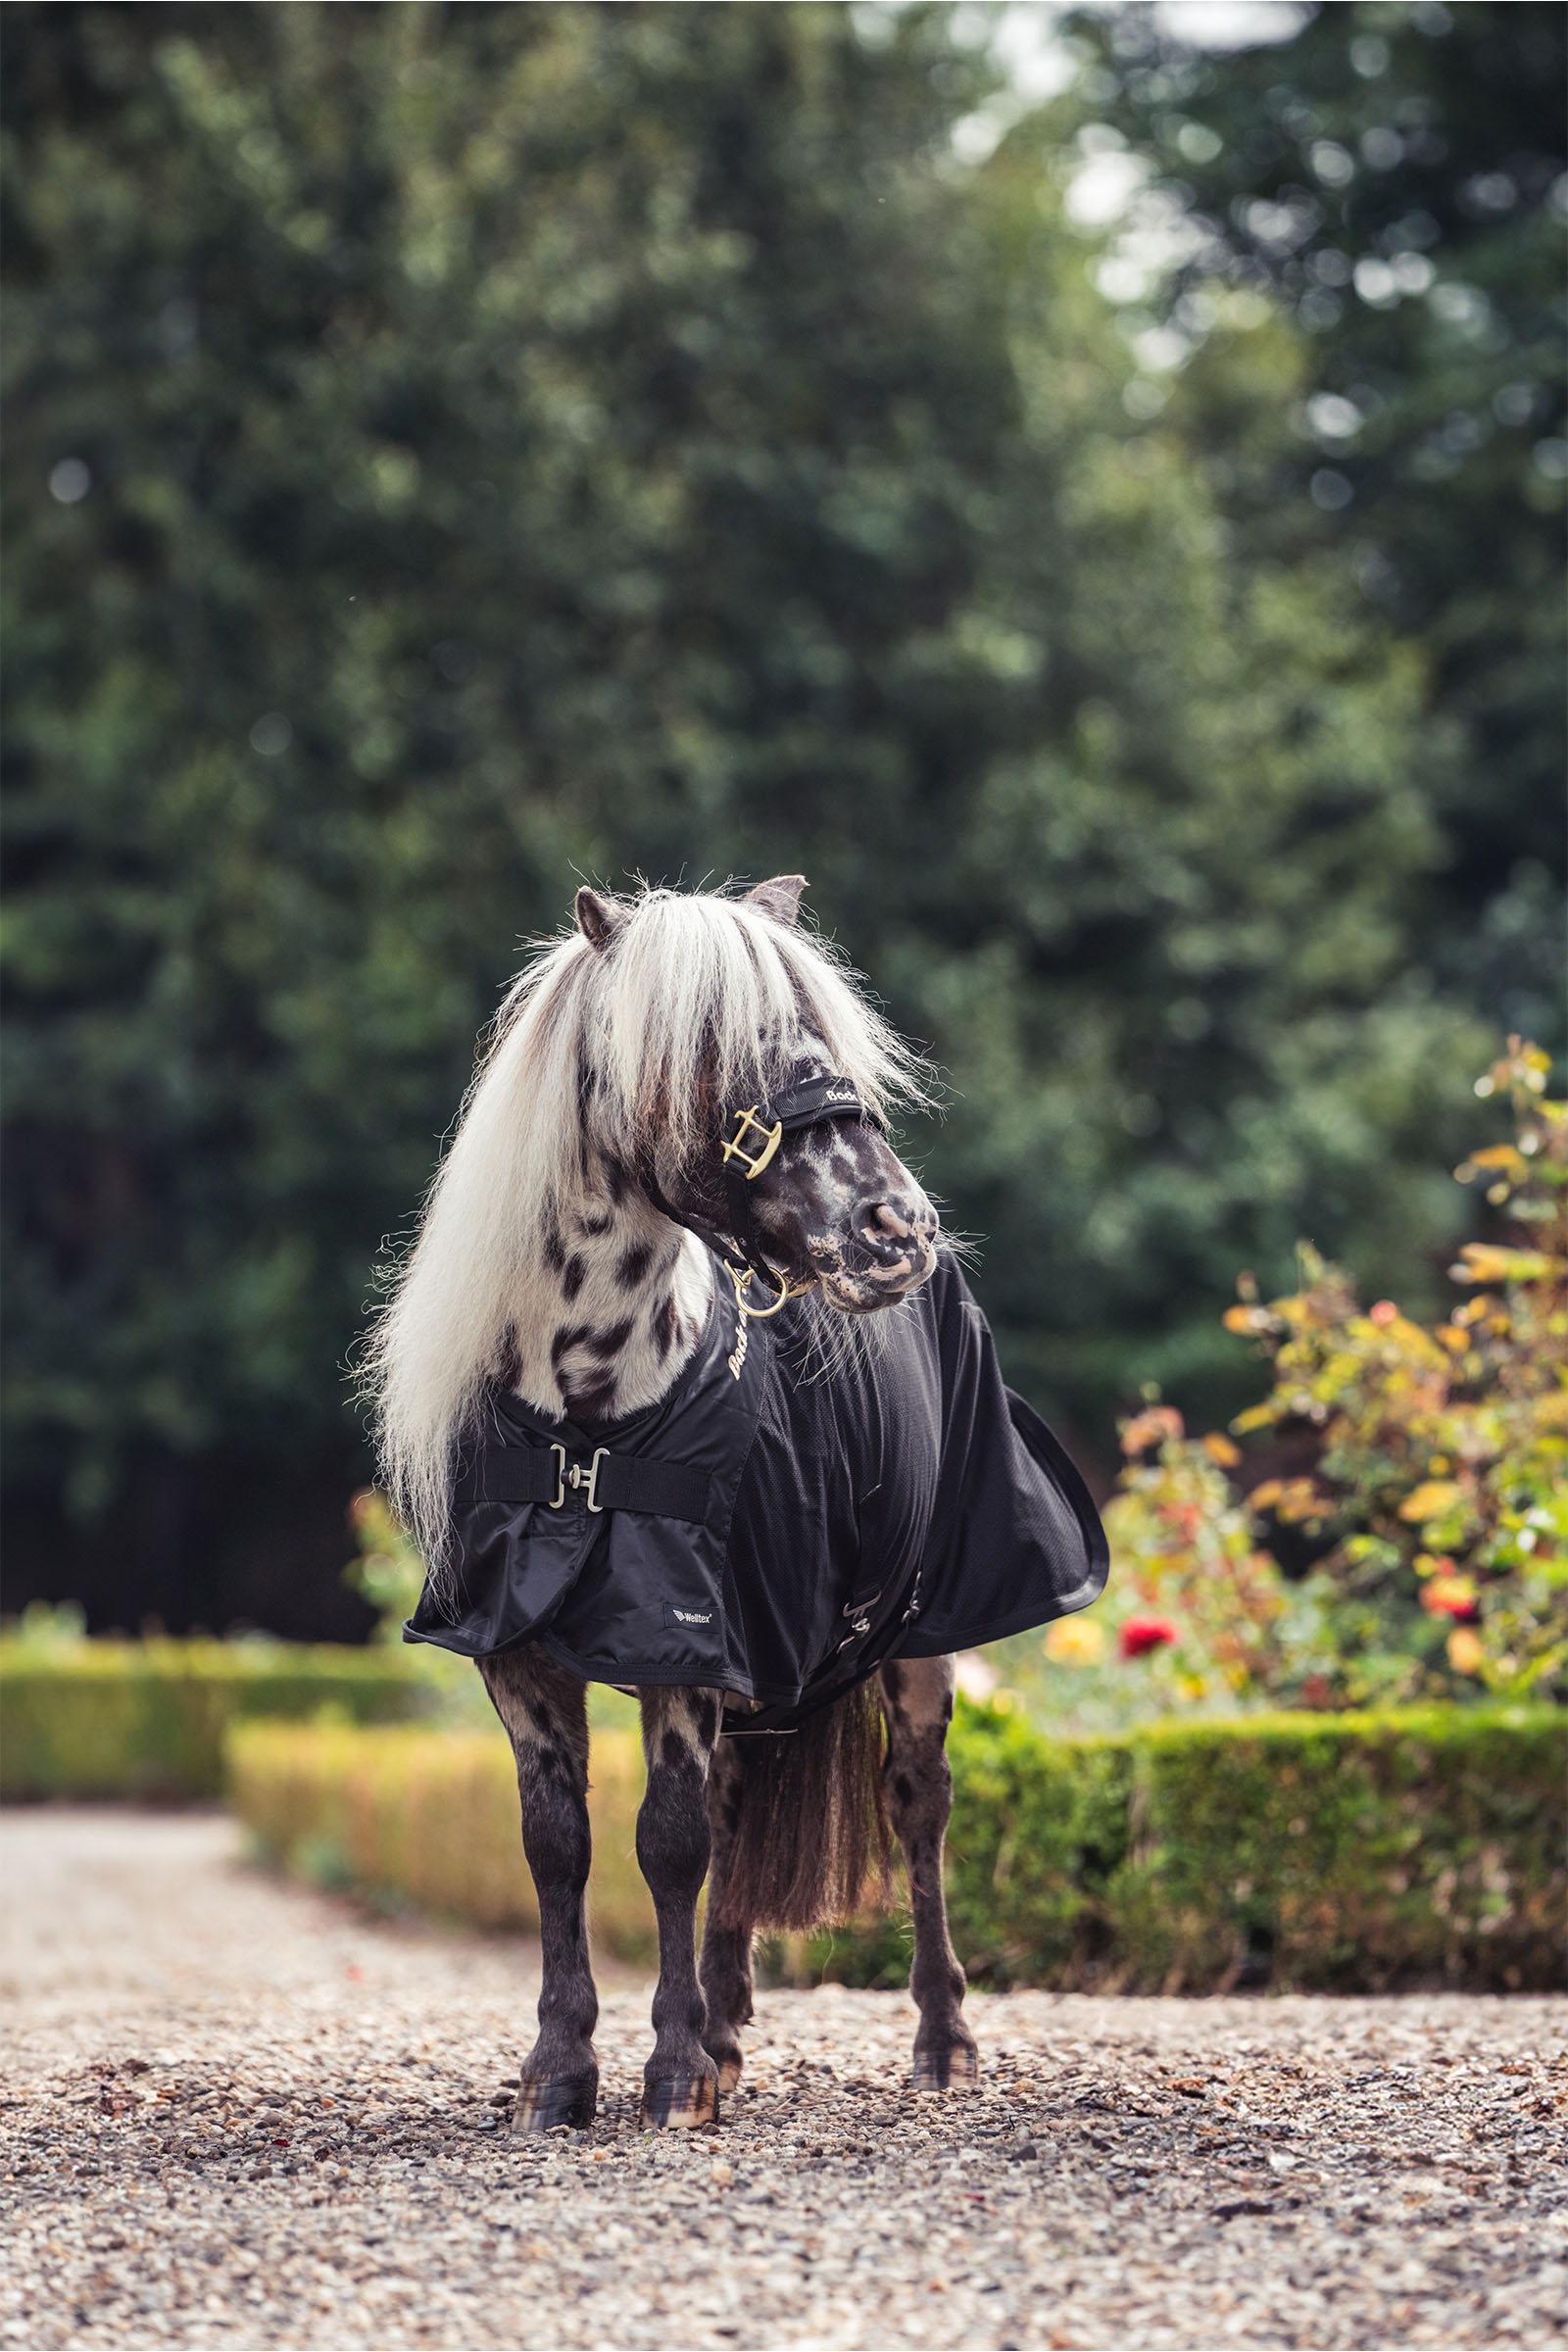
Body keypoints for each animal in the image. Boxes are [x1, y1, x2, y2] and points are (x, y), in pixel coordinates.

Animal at [366, 876, 1105, 2131]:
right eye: (713, 1053)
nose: (897, 1230)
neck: (588, 1416)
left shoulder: (689, 1645)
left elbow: (665, 1844)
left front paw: (669, 2077)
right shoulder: (528, 1658)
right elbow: (560, 1847)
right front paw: (563, 2071)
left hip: (918, 1649)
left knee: (917, 1809)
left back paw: (939, 2046)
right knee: (734, 1811)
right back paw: (726, 2031)